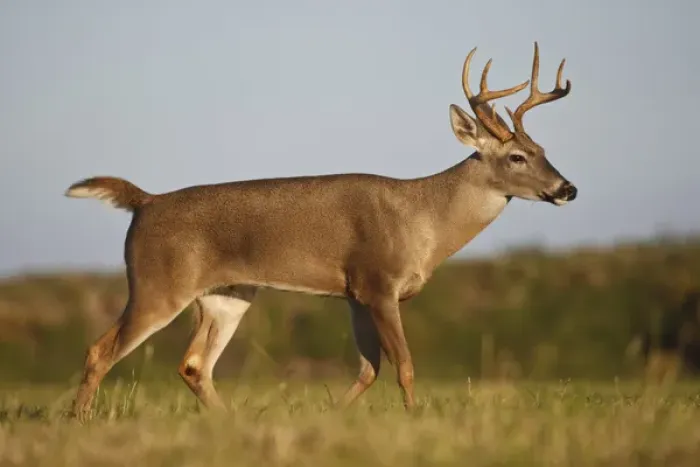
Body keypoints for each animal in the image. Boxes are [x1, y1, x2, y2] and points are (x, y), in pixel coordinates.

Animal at [65, 42, 576, 421]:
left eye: (543, 150)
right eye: (516, 156)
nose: (566, 188)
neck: (423, 219)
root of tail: (145, 202)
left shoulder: (354, 294)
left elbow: (368, 368)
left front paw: (334, 417)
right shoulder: (377, 282)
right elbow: (404, 364)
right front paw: (415, 418)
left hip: (227, 294)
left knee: (193, 365)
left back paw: (227, 421)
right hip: (157, 282)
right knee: (99, 350)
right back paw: (81, 420)